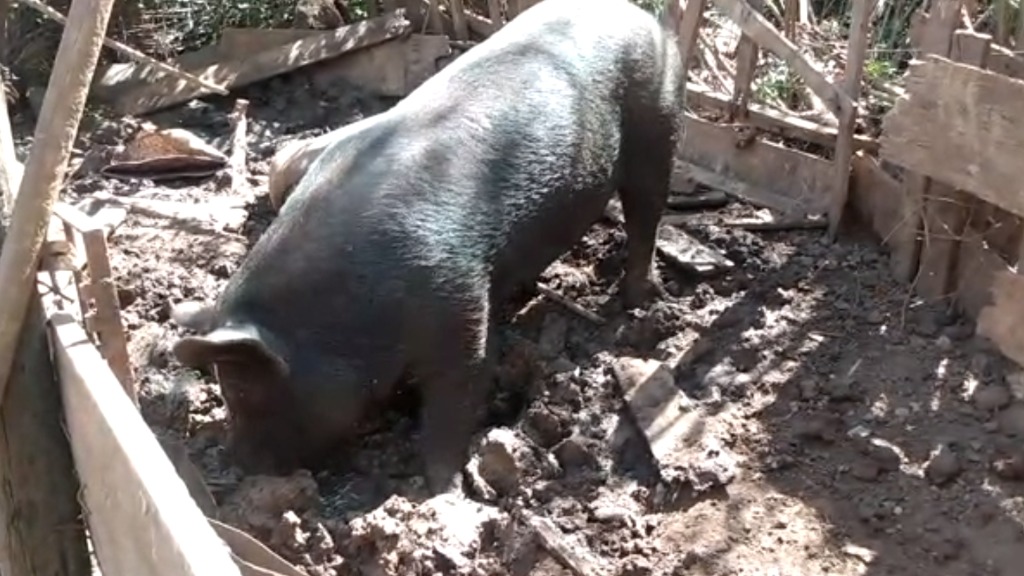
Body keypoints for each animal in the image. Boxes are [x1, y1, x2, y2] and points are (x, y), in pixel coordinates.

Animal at [171, 0, 684, 495]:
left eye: (245, 394)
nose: (240, 466)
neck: (344, 310)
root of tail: (641, 17)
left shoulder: (457, 302)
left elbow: (453, 399)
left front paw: (442, 489)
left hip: (659, 126)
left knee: (647, 213)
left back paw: (638, 301)